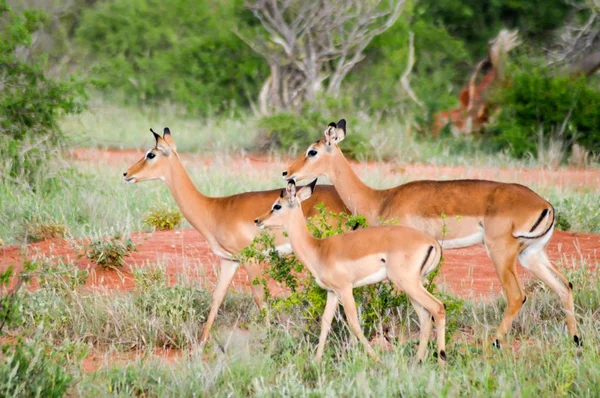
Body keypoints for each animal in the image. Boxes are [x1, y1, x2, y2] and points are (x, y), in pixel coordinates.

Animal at [123, 129, 346, 344]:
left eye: (151, 154)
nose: (126, 173)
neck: (213, 210)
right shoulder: (229, 260)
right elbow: (216, 298)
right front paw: (200, 344)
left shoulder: (251, 259)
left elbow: (260, 299)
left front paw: (271, 340)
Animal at [253, 180, 446, 364]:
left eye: (277, 205)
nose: (257, 220)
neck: (319, 249)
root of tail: (432, 242)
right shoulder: (332, 292)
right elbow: (325, 323)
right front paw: (316, 361)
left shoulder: (345, 289)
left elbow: (354, 323)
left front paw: (377, 359)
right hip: (412, 287)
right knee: (425, 317)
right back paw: (418, 361)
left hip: (408, 284)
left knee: (438, 308)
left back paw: (441, 362)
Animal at [284, 119, 580, 346]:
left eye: (312, 151)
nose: (287, 172)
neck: (380, 199)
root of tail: (546, 205)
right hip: (531, 255)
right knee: (564, 286)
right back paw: (575, 341)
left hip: (501, 254)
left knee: (517, 296)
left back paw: (492, 344)